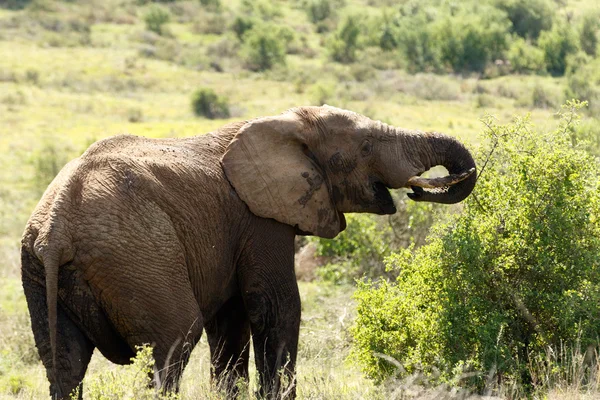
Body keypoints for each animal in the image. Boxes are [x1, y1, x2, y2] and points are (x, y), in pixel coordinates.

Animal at [21, 104, 476, 398]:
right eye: (364, 149)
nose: (419, 190)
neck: (282, 123)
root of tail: (57, 228)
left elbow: (232, 320)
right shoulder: (260, 219)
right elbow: (276, 304)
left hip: (40, 270)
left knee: (64, 362)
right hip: (138, 254)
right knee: (173, 340)